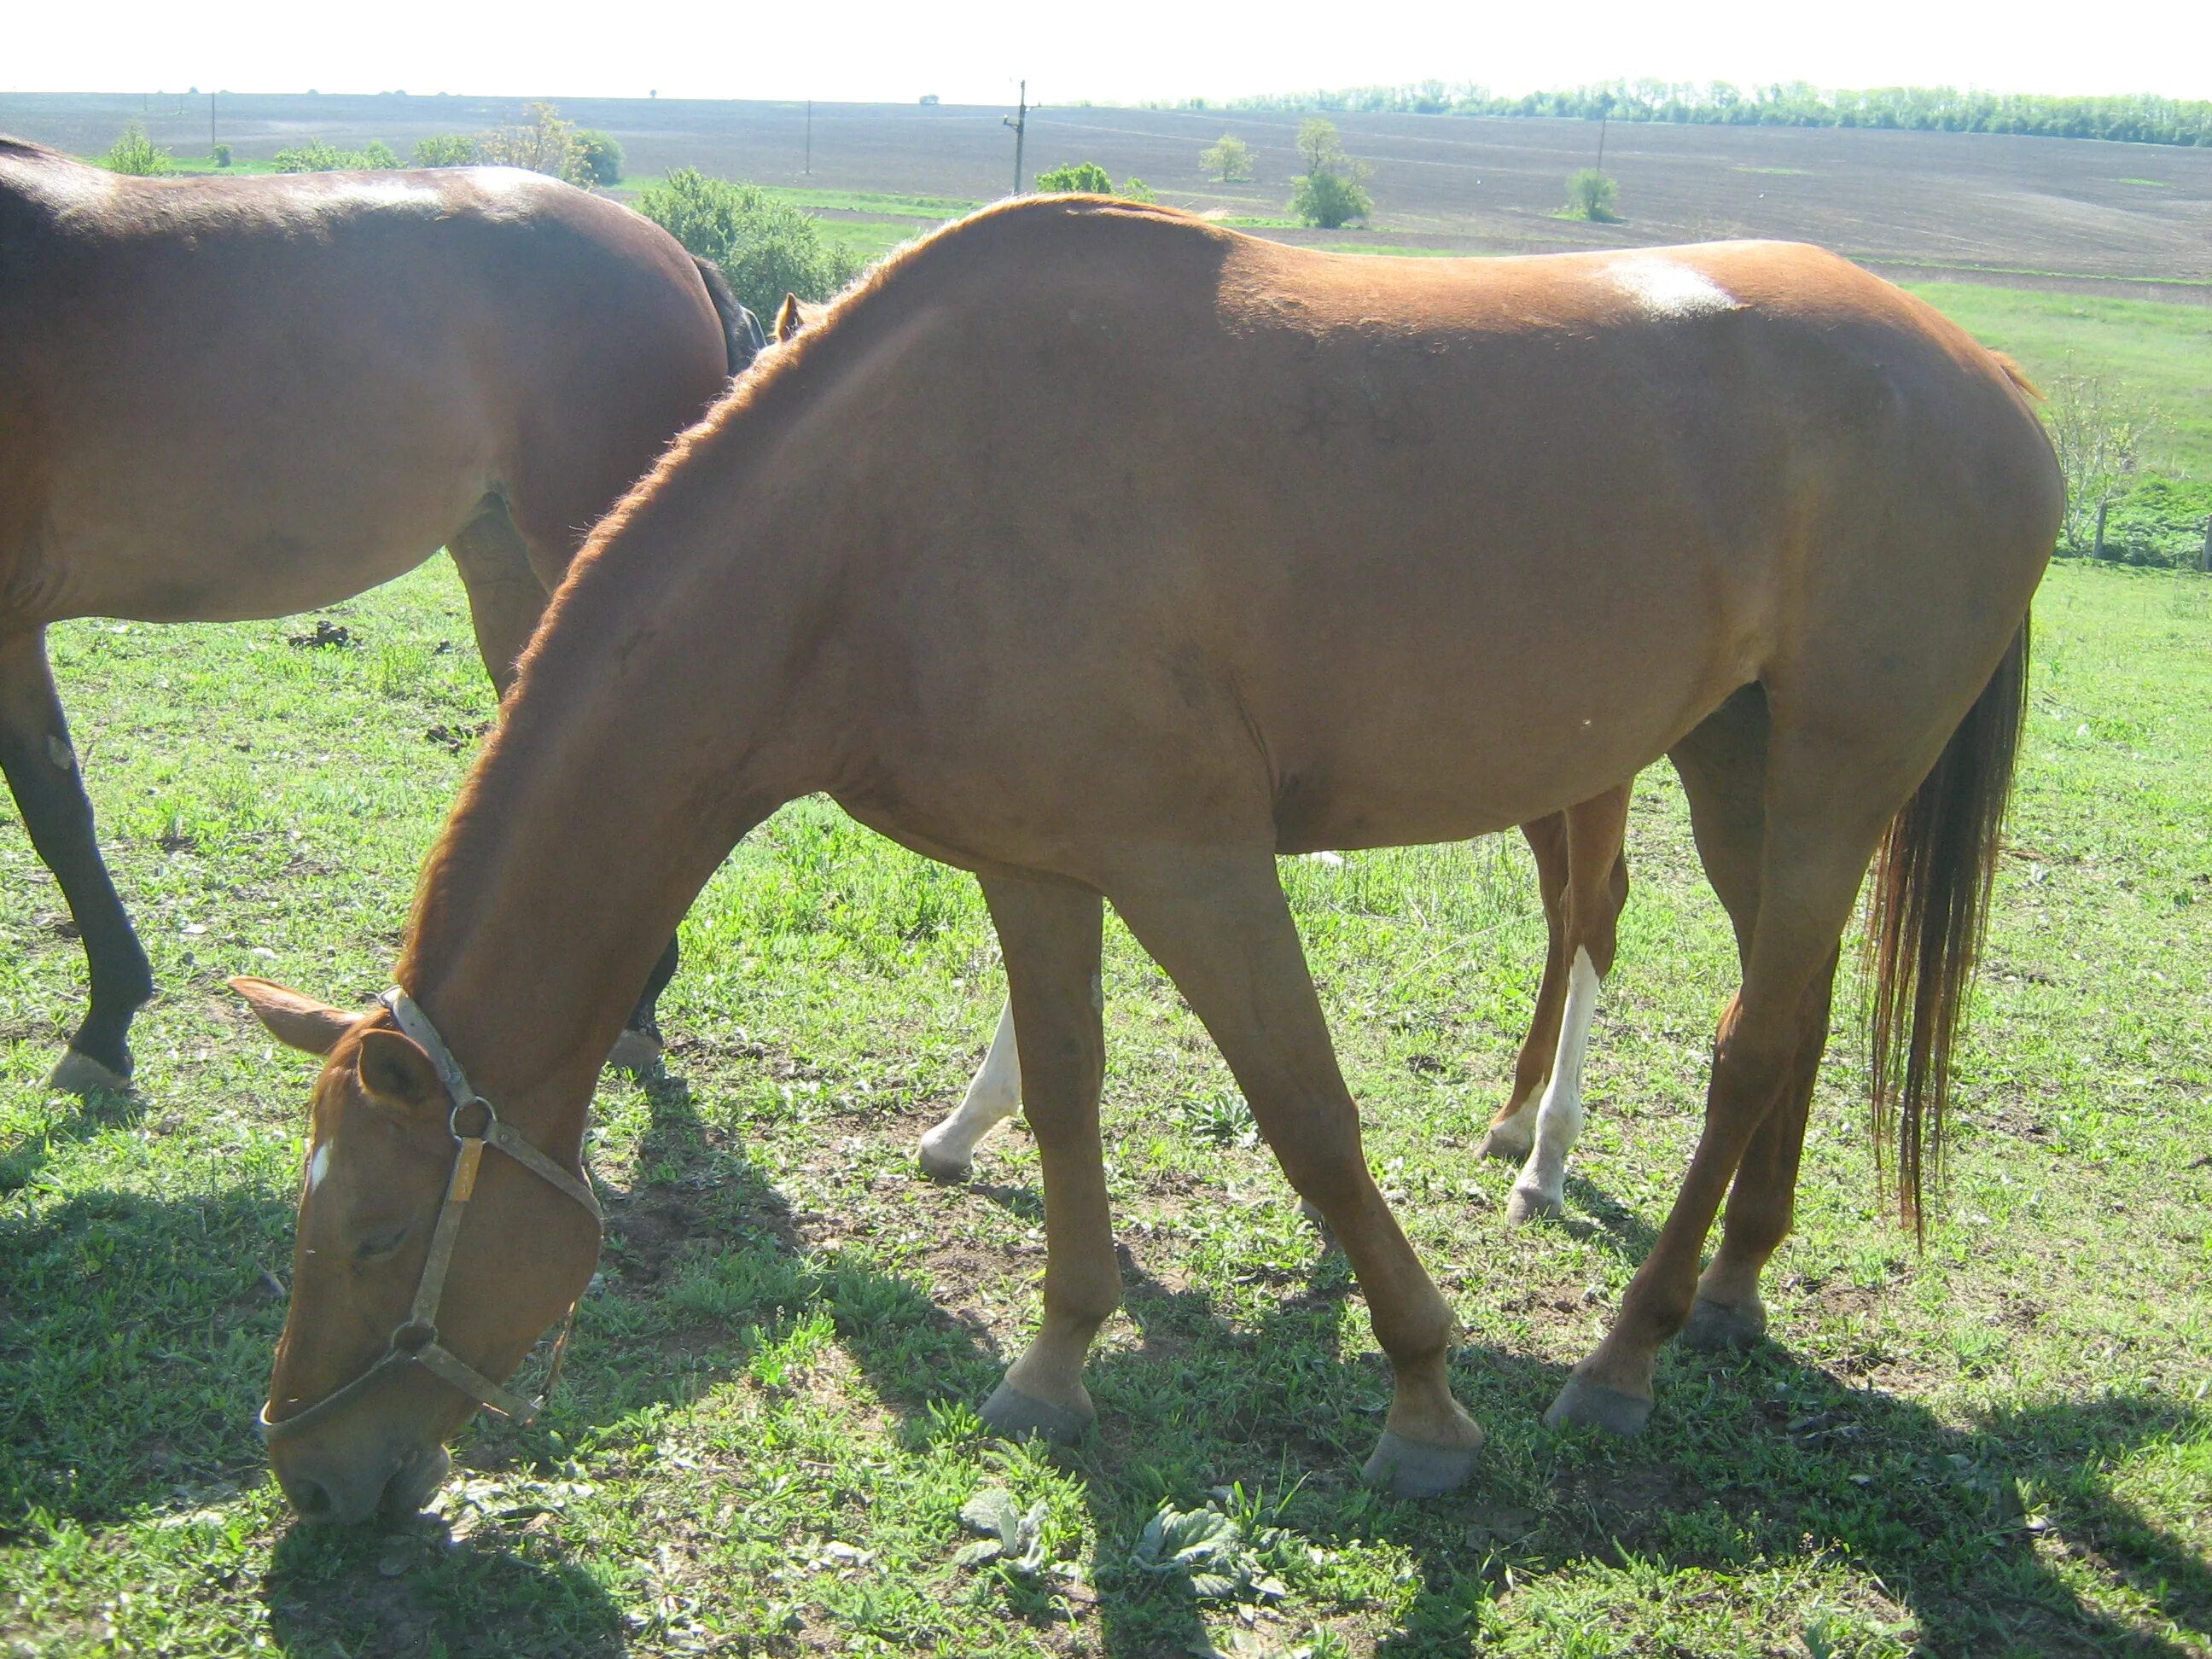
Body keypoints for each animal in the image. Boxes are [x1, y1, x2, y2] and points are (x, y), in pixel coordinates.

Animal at [0, 143, 756, 1097]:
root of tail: (676, 256)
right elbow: (56, 807)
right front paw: (110, 1019)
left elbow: (53, 815)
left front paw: (103, 1025)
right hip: (506, 560)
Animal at [233, 201, 2044, 1530]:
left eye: (378, 1238)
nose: (309, 1475)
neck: (882, 511)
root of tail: (1993, 377)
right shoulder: (1038, 866)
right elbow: (1063, 1094)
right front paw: (1053, 1358)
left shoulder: (1194, 864)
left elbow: (1311, 1118)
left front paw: (1425, 1397)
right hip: (1744, 765)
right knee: (1790, 1011)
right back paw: (1733, 1282)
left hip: (1831, 775)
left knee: (1747, 1041)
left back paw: (1625, 1351)